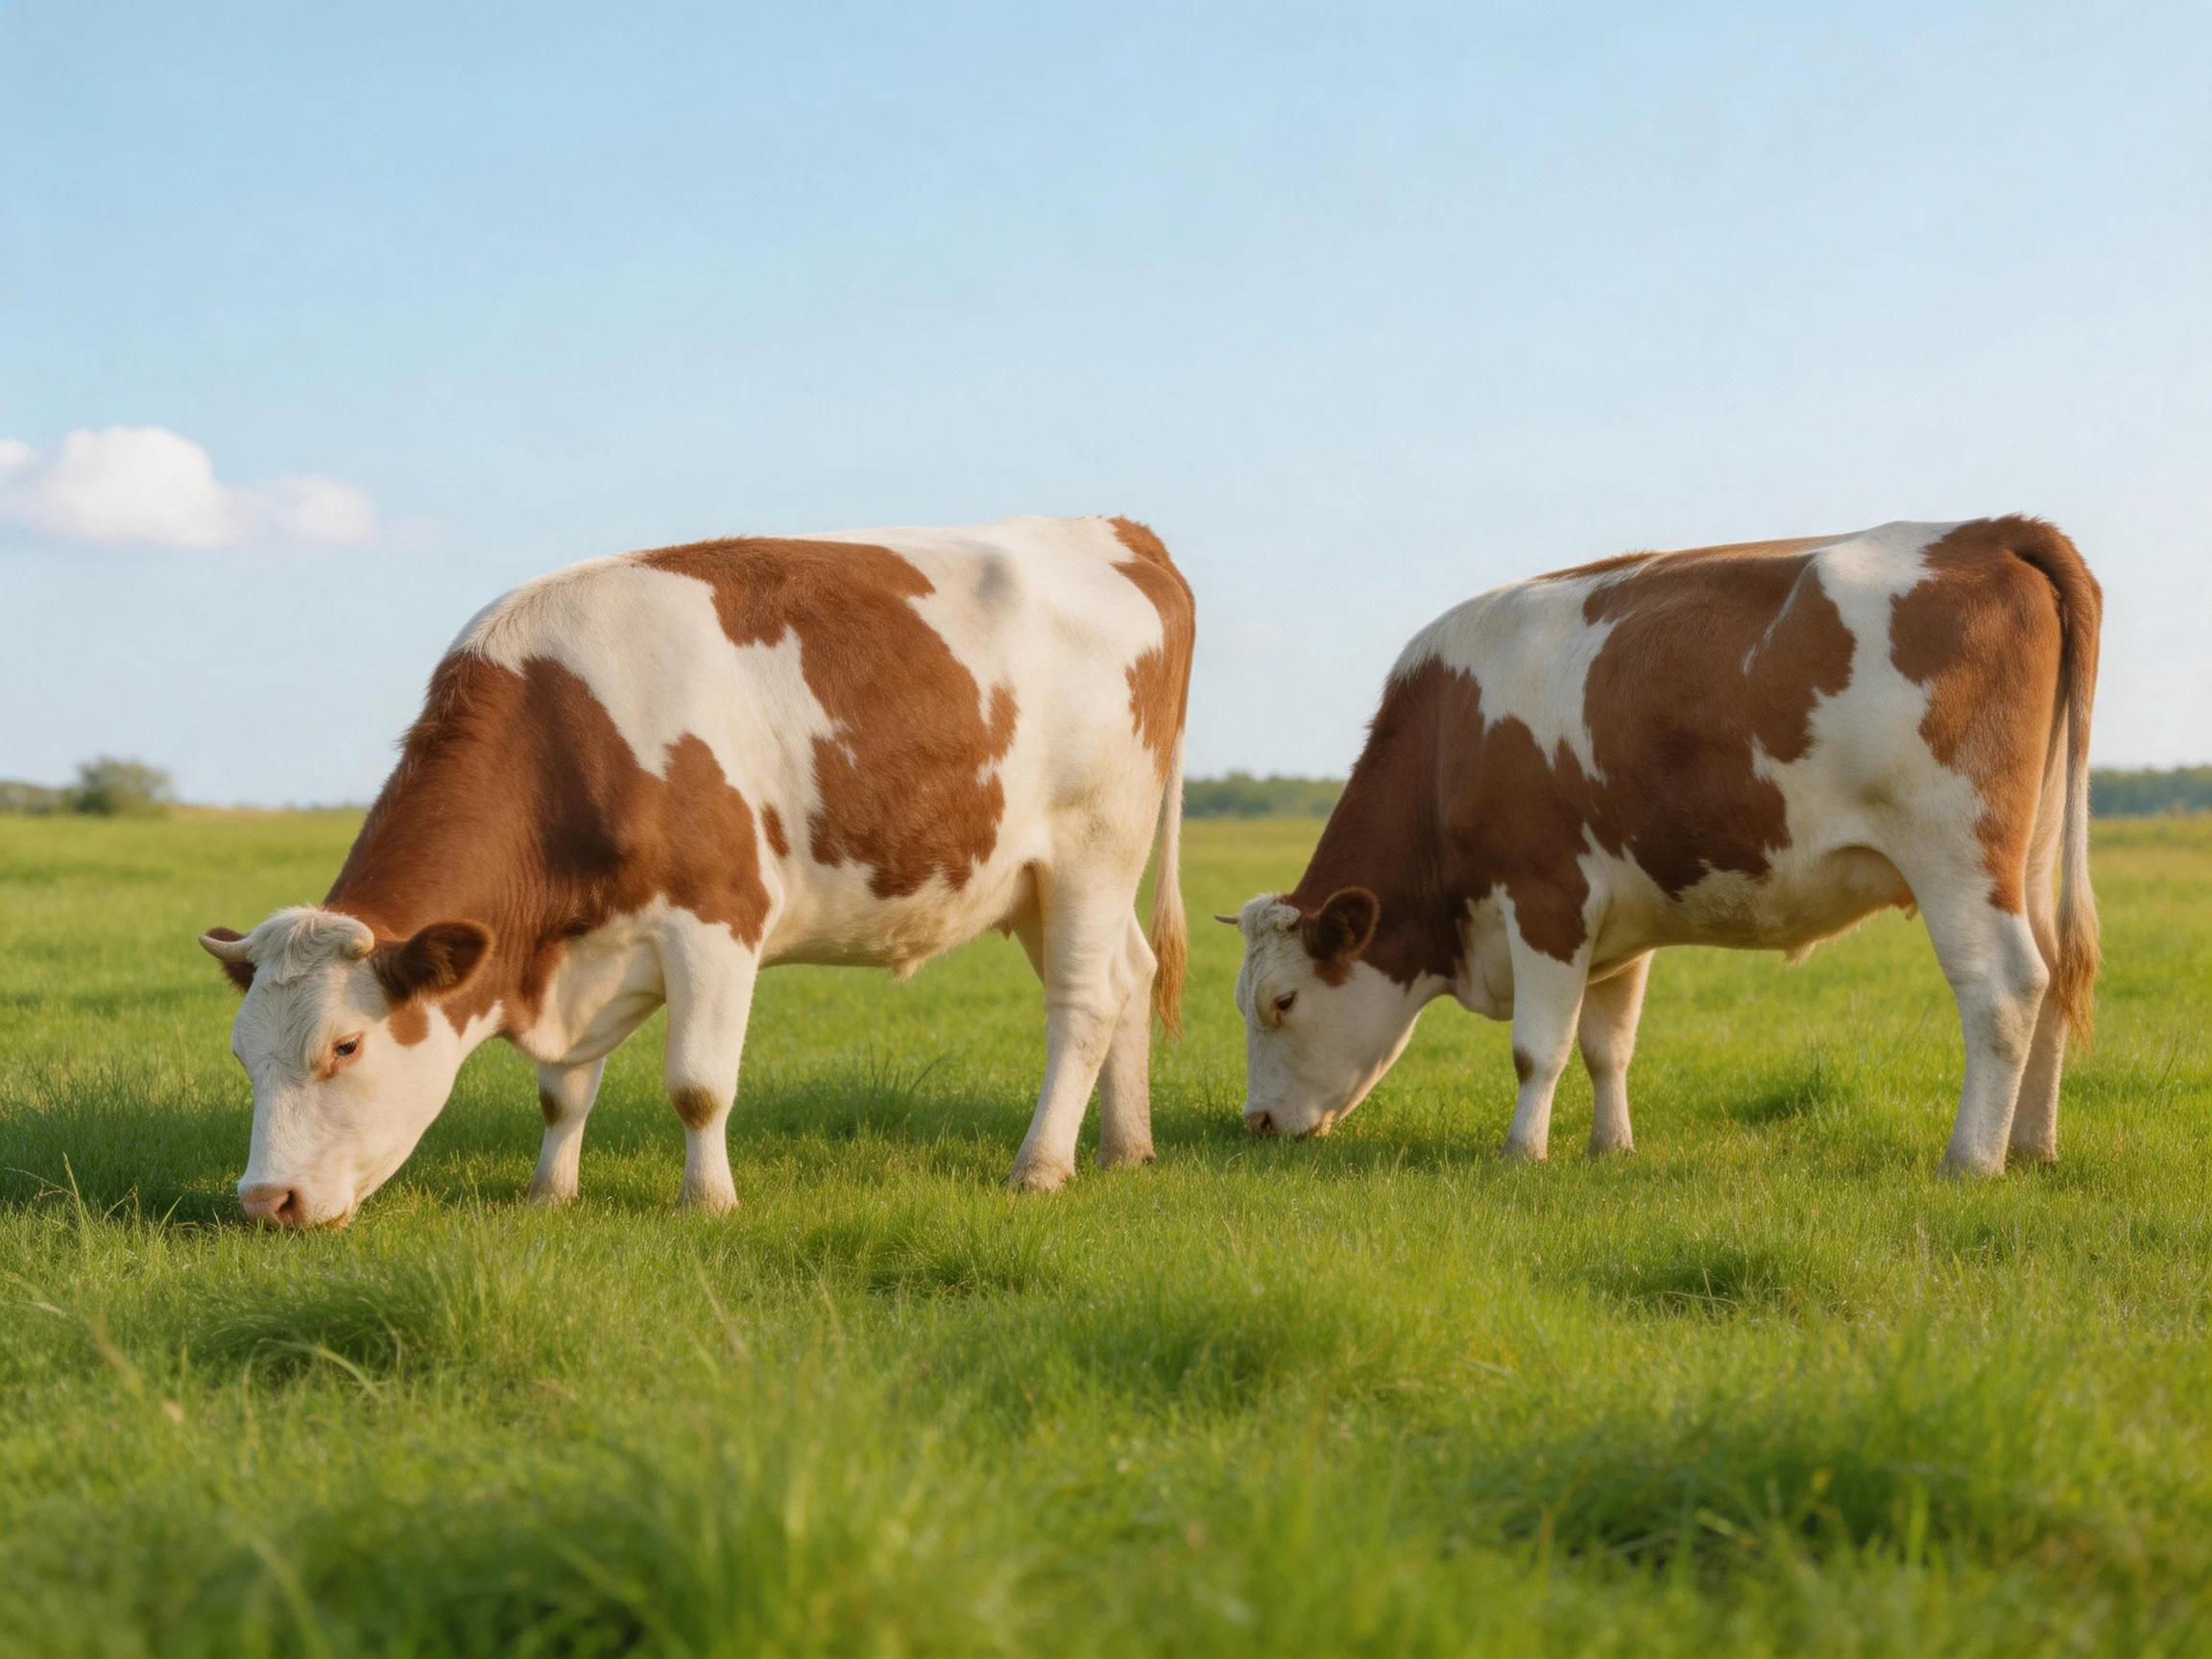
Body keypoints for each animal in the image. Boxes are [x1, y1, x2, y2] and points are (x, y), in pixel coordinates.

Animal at [200, 516, 1194, 1226]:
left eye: (345, 1046)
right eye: (242, 1054)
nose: (265, 1202)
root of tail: (1112, 528)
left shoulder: (717, 919)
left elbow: (698, 1085)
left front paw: (707, 1203)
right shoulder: (586, 951)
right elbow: (562, 1092)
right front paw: (548, 1195)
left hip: (1094, 848)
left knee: (1082, 1004)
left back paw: (1042, 1167)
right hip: (1028, 882)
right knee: (1129, 976)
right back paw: (1128, 1148)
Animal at [1226, 517, 2100, 1176]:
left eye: (1282, 1002)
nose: (1258, 1124)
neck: (1448, 742)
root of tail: (1989, 531)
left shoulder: (1547, 897)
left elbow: (1537, 1049)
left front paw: (1521, 1153)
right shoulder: (1618, 920)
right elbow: (1606, 1046)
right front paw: (1610, 1148)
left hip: (1956, 854)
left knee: (2004, 989)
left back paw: (1973, 1159)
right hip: (2026, 857)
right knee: (2055, 978)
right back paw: (2034, 1148)